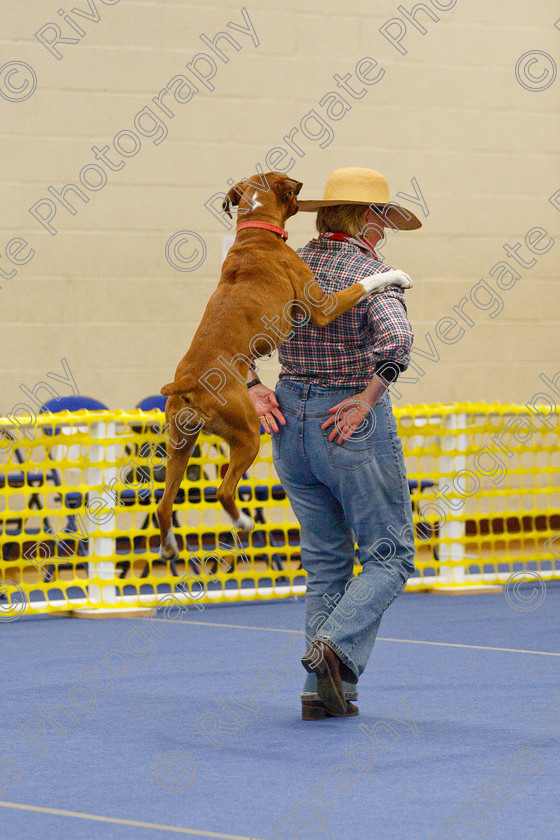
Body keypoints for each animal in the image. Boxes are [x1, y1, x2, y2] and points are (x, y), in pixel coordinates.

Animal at [156, 173, 412, 560]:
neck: (255, 231)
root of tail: (188, 384)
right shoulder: (322, 307)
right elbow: (364, 283)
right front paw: (395, 275)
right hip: (247, 434)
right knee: (223, 492)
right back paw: (244, 523)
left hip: (181, 445)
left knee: (164, 504)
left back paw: (170, 545)